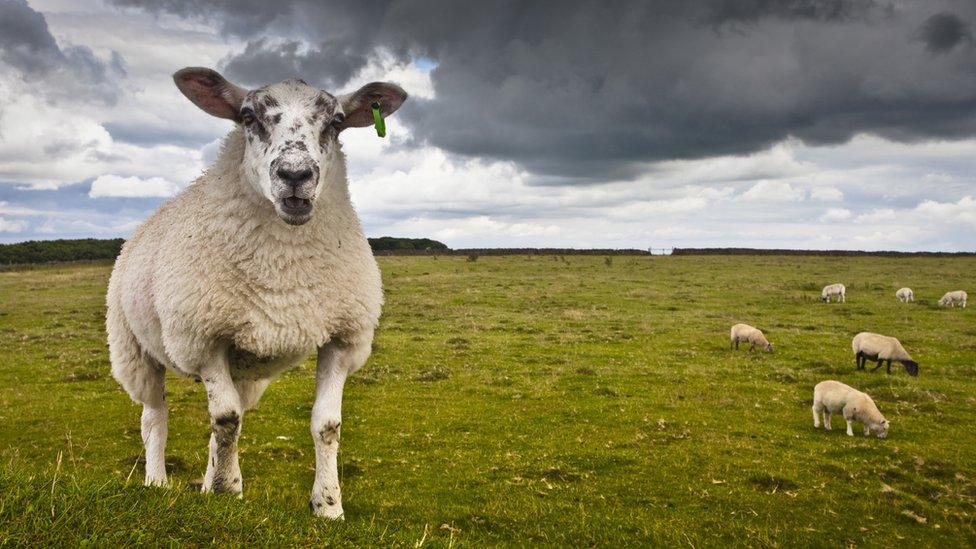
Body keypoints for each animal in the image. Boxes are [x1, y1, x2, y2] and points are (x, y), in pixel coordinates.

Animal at [107, 67, 408, 520]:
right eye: (248, 117)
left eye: (336, 122)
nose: (296, 175)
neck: (284, 267)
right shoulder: (204, 339)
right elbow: (226, 419)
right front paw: (226, 491)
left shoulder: (342, 338)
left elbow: (326, 425)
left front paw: (328, 505)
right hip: (135, 350)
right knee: (156, 416)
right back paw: (158, 480)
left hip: (242, 369)